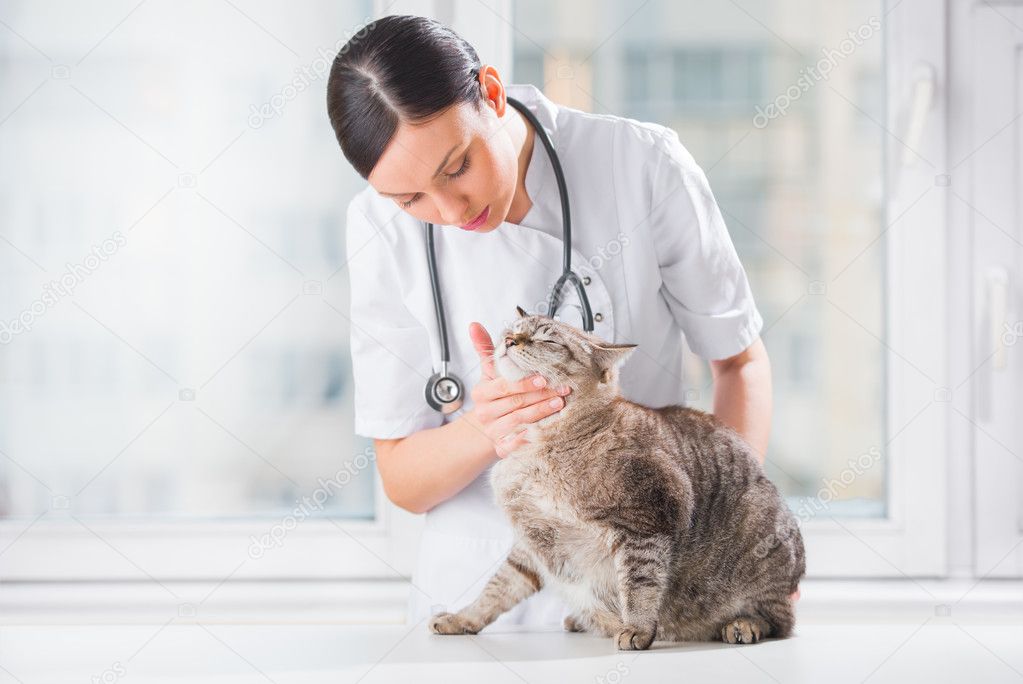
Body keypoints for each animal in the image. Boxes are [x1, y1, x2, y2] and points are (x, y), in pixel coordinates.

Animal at [427, 306, 802, 650]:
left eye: (547, 339)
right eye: (513, 330)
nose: (508, 341)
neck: (536, 446)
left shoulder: (646, 519)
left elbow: (639, 585)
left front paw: (636, 629)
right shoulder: (531, 544)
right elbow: (496, 590)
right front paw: (461, 618)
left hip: (763, 540)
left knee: (779, 620)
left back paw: (743, 625)